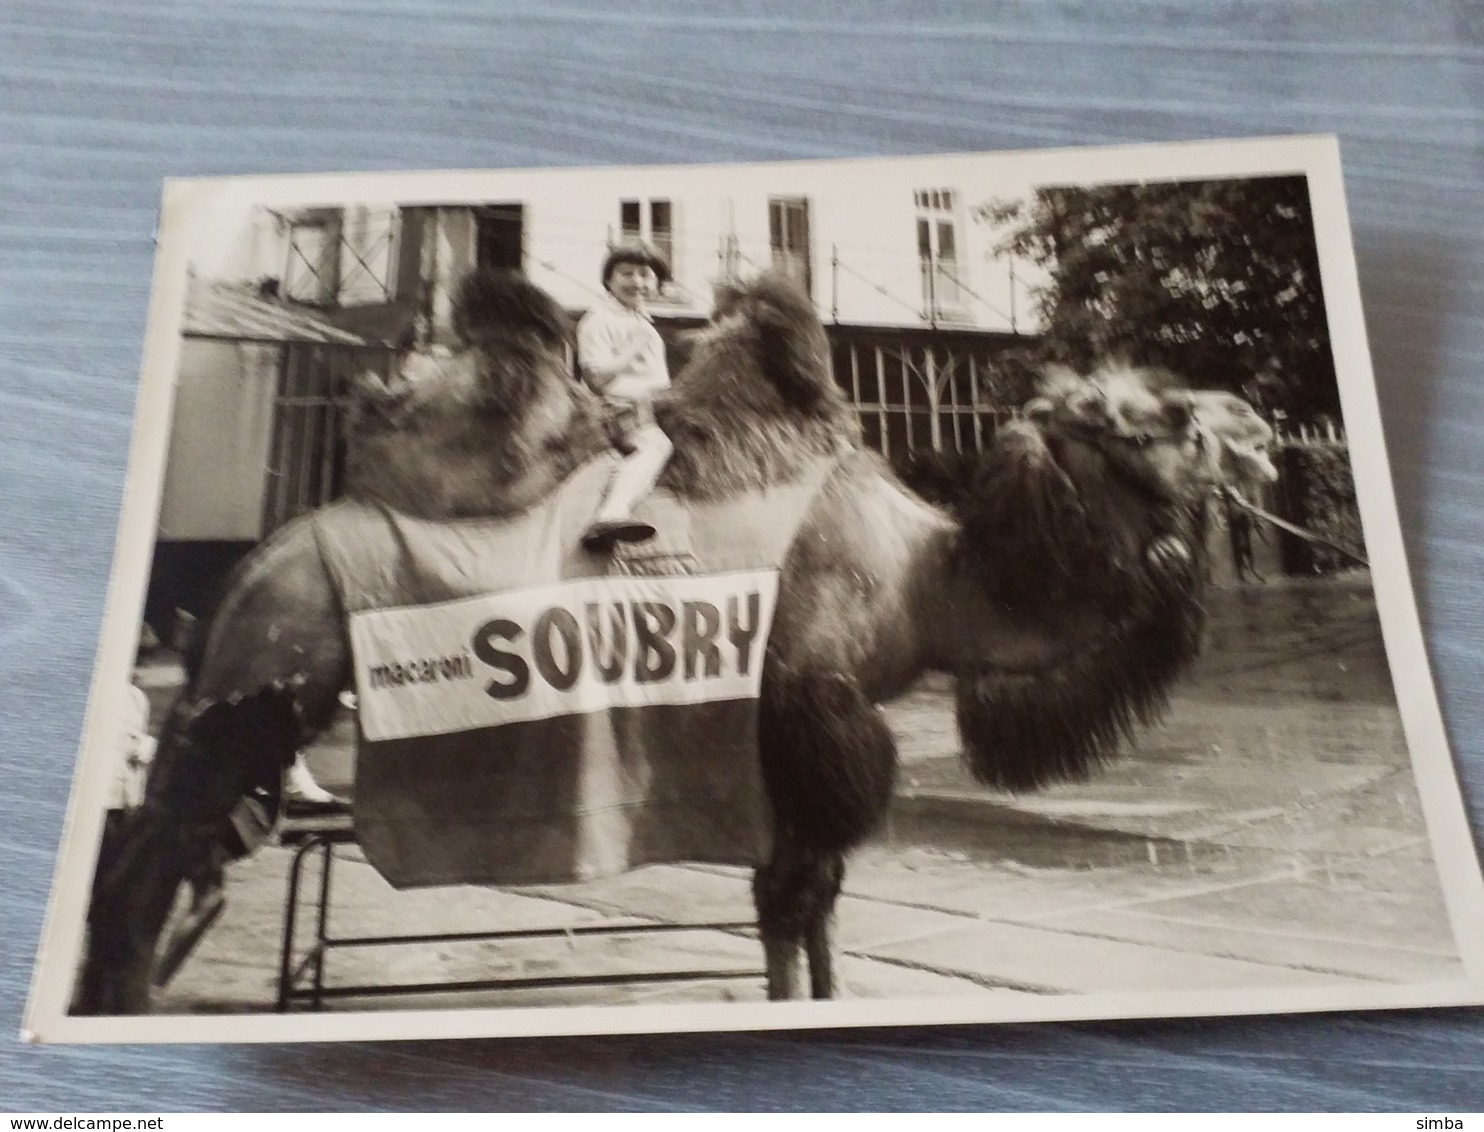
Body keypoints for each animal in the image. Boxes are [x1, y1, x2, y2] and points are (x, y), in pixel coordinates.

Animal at [72, 270, 1276, 1014]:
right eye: (1159, 418)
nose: (1261, 429)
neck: (927, 578)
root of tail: (239, 577)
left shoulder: (801, 738)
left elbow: (807, 903)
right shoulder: (816, 713)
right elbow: (791, 900)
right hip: (254, 694)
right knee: (144, 863)